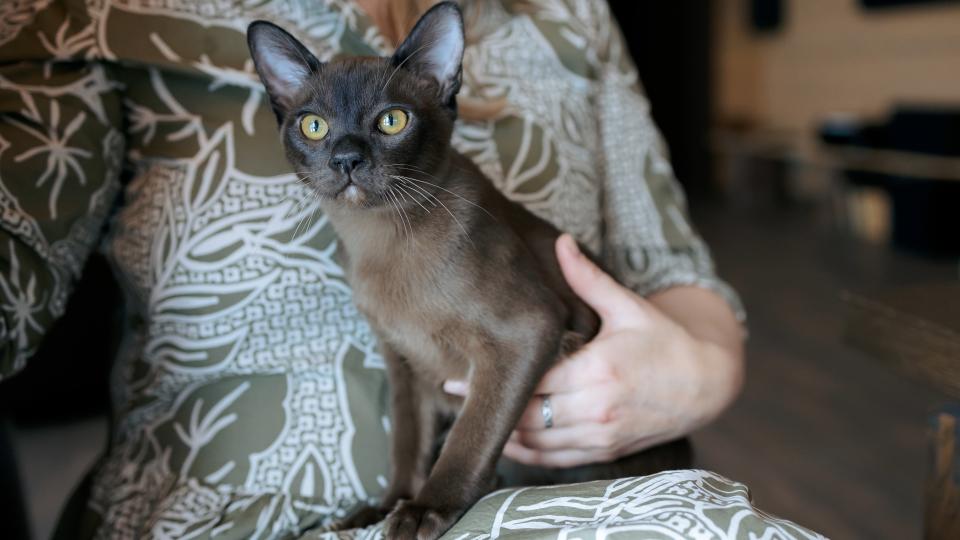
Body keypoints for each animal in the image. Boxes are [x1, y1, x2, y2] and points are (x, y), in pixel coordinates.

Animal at [244, 3, 688, 536]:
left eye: (392, 121)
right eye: (313, 126)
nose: (347, 158)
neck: (378, 242)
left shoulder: (525, 333)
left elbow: (467, 440)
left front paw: (422, 511)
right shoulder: (402, 361)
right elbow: (405, 447)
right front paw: (383, 508)